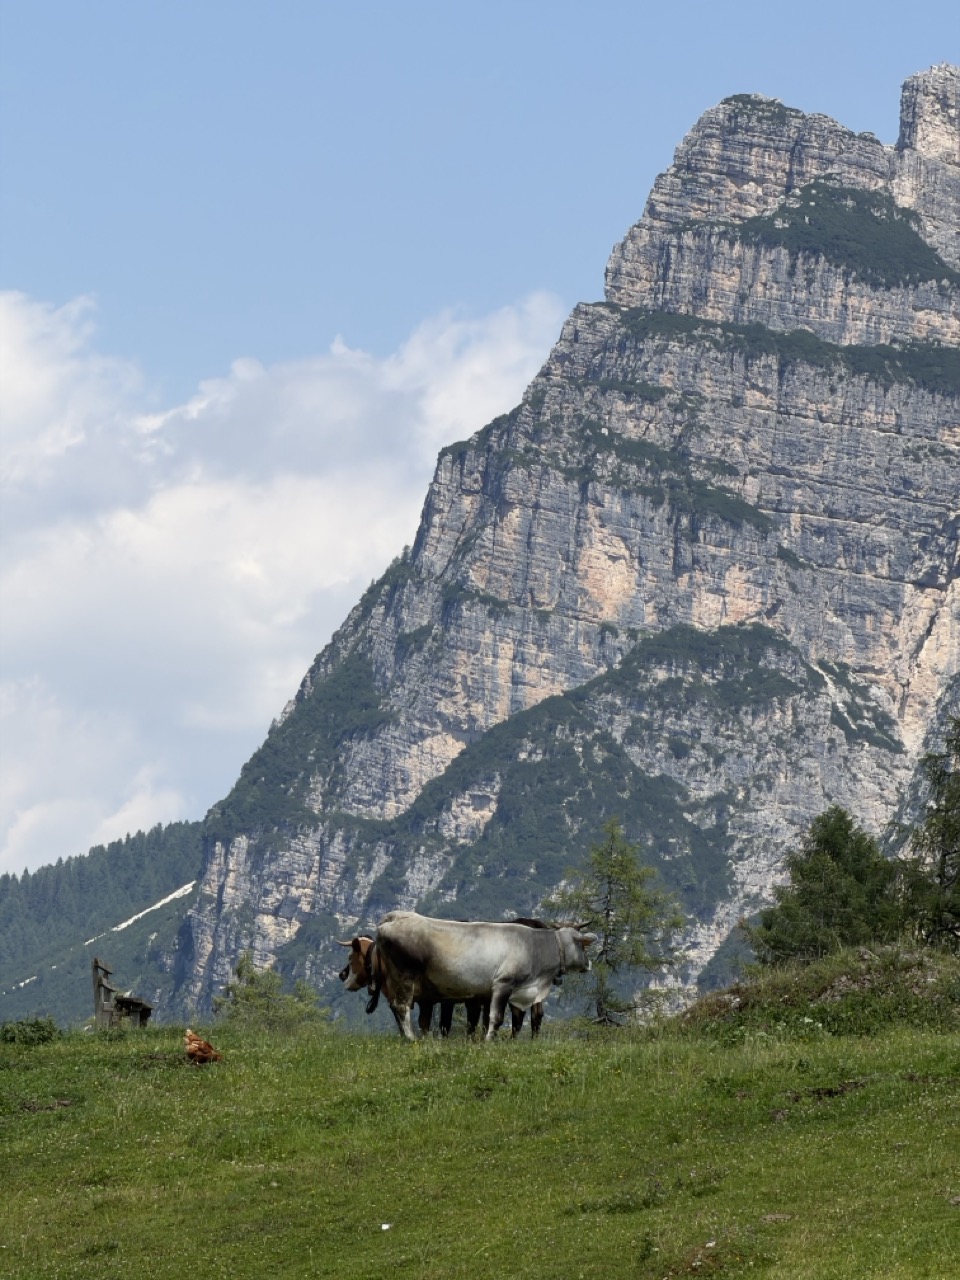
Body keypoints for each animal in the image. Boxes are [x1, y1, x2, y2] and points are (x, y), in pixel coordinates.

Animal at [371, 911, 596, 1041]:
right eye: (582, 945)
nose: (588, 964)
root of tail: (394, 917)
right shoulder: (503, 985)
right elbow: (496, 1018)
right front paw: (489, 1042)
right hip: (405, 976)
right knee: (401, 1006)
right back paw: (411, 1038)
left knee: (397, 1007)